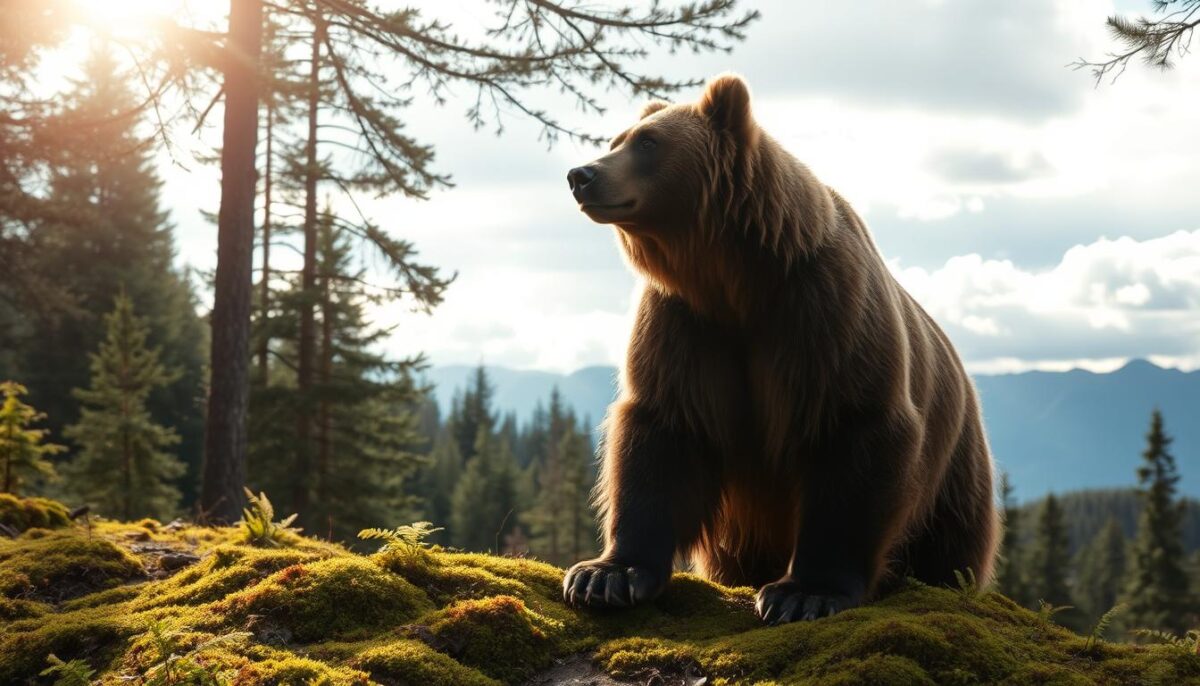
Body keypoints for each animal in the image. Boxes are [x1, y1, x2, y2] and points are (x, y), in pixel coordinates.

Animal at [561, 74, 999, 624]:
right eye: (617, 139)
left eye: (647, 143)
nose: (581, 174)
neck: (735, 281)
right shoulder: (687, 327)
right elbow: (663, 434)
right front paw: (605, 575)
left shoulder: (821, 313)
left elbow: (851, 436)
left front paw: (803, 593)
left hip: (955, 464)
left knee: (949, 543)